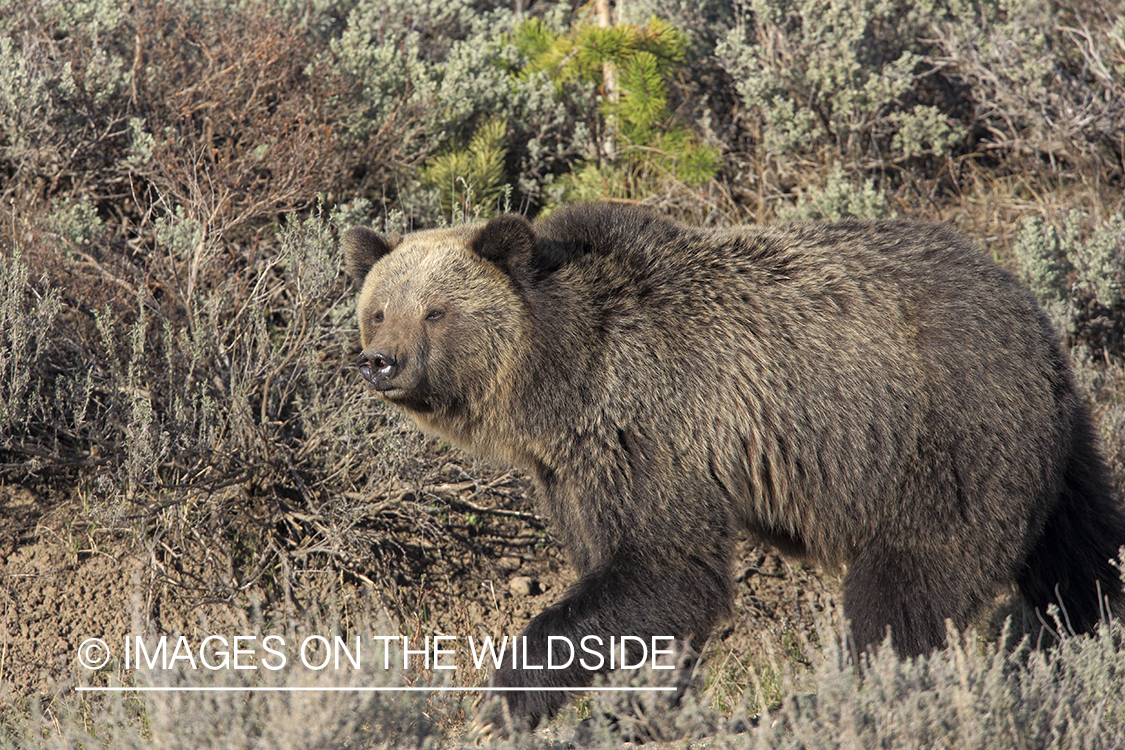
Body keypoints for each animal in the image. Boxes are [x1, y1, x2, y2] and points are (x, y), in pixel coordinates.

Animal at [342, 202, 1125, 728]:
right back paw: (1096, 637)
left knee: (907, 592)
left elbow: (666, 566)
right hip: (1054, 448)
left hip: (942, 445)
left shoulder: (649, 427)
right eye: (378, 308)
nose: (380, 362)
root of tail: (1023, 303)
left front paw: (509, 699)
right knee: (1082, 553)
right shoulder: (573, 470)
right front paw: (638, 700)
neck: (561, 375)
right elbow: (624, 576)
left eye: (436, 311)